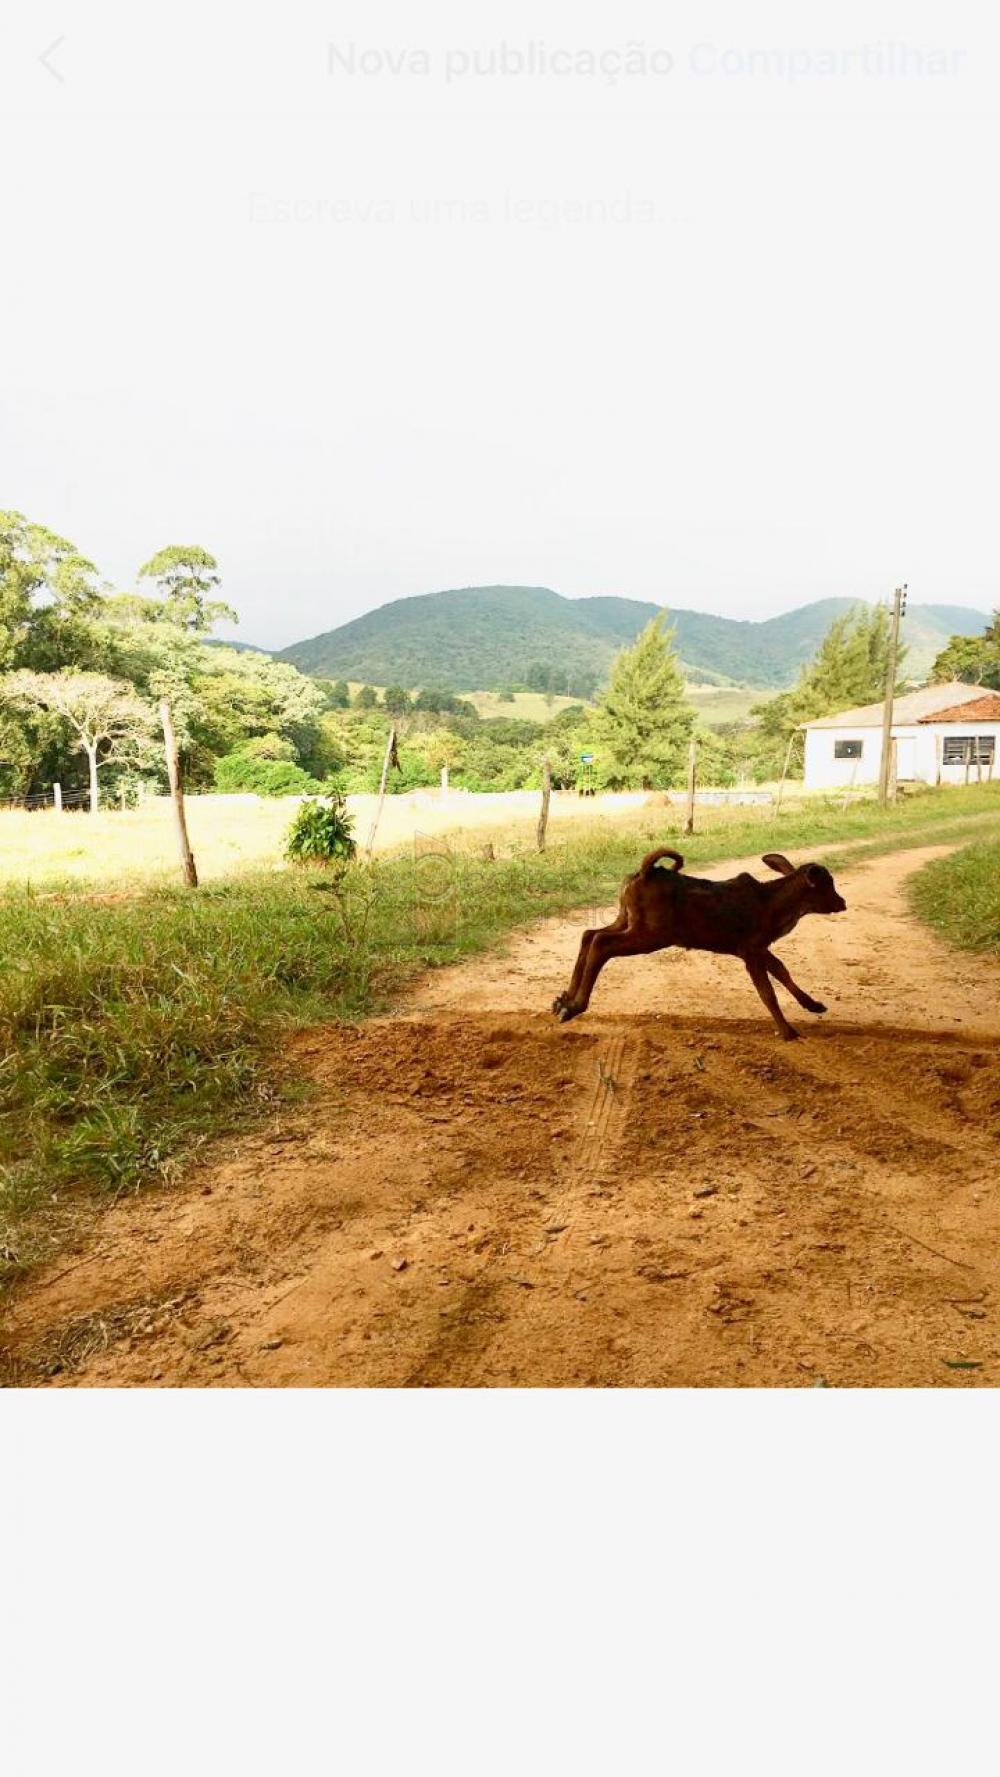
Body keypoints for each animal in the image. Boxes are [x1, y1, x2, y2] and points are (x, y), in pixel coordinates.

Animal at [550, 845, 849, 1037]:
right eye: (828, 885)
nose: (842, 903)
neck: (773, 904)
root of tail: (647, 871)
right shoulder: (750, 948)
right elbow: (767, 991)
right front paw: (787, 1031)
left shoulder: (759, 947)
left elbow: (782, 971)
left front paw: (814, 1005)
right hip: (652, 935)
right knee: (601, 943)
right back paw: (575, 1006)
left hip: (627, 920)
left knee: (590, 935)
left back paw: (564, 1001)